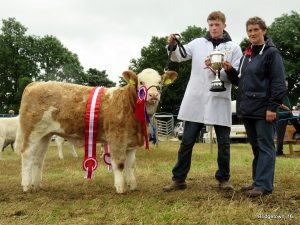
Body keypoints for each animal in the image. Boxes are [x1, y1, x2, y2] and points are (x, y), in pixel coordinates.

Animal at [15, 68, 177, 193]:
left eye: (159, 82)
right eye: (141, 82)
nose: (153, 95)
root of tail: (37, 83)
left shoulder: (131, 142)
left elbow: (130, 165)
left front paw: (133, 186)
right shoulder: (117, 139)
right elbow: (119, 164)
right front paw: (120, 188)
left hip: (45, 135)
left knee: (38, 159)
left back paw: (37, 185)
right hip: (32, 132)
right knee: (27, 155)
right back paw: (26, 186)